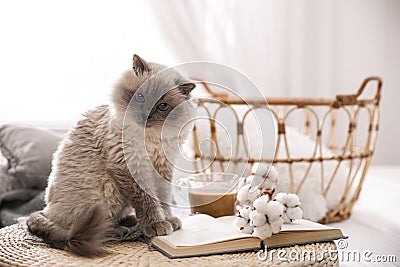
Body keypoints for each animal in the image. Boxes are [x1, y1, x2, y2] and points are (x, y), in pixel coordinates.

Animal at [24, 54, 196, 258]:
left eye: (162, 106)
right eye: (140, 97)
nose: (144, 116)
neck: (151, 139)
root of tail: (46, 211)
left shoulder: (162, 167)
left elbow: (162, 198)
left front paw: (169, 220)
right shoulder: (130, 167)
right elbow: (147, 201)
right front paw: (157, 225)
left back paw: (130, 222)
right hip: (102, 197)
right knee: (84, 229)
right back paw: (122, 230)